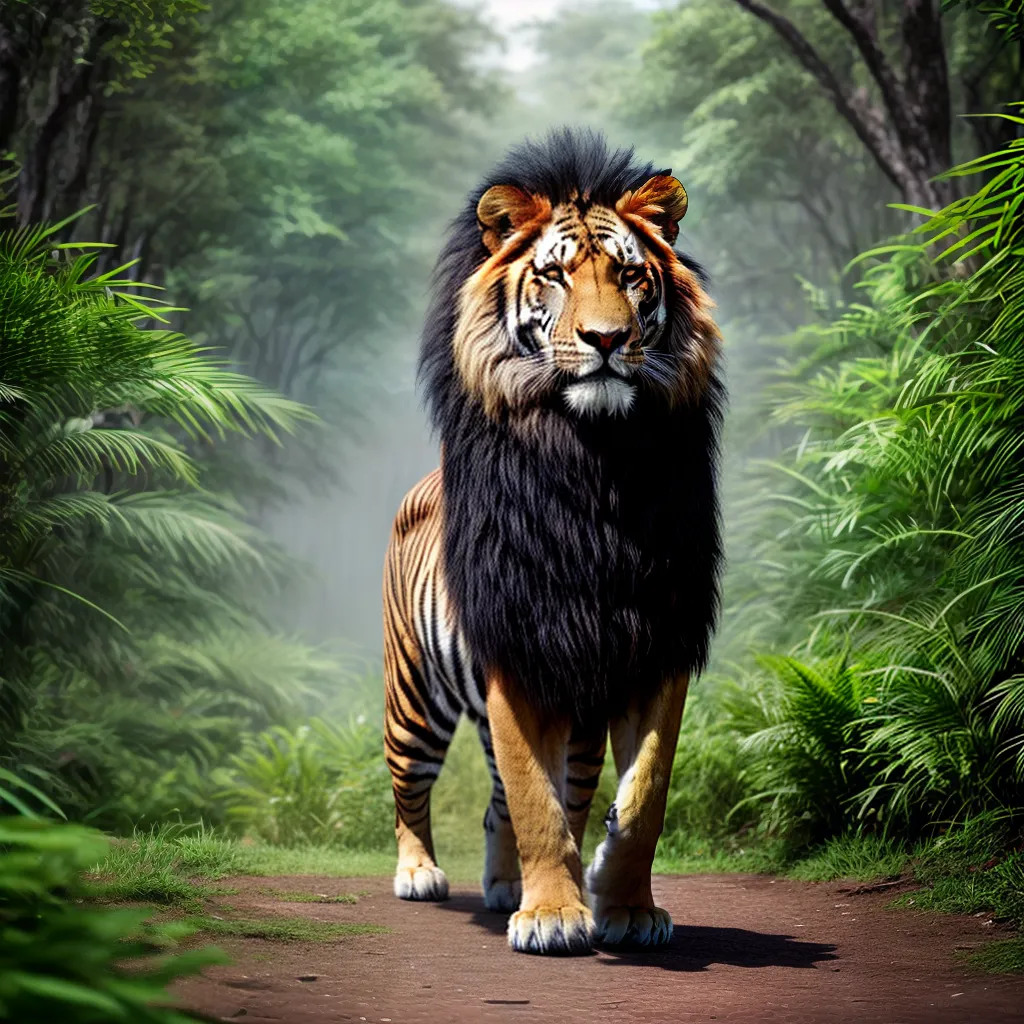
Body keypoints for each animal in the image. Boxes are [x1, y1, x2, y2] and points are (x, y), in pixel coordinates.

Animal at [383, 129, 723, 956]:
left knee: (507, 798)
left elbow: (641, 796)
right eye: (555, 275)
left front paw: (623, 906)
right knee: (410, 786)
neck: (597, 466)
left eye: (631, 275)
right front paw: (552, 919)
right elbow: (539, 806)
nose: (607, 339)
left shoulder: (655, 642)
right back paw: (420, 874)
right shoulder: (521, 643)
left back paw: (509, 885)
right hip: (416, 696)